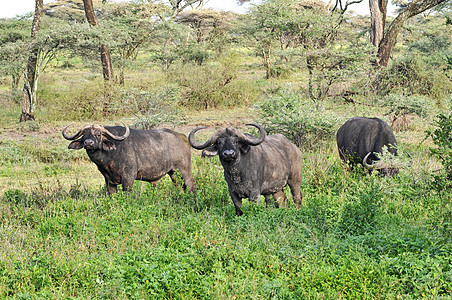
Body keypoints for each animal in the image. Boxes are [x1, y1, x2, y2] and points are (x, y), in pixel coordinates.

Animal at [62, 122, 194, 195]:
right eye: (85, 134)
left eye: (98, 134)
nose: (88, 143)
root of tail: (182, 137)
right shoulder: (109, 181)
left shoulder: (128, 178)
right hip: (173, 174)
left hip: (184, 172)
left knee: (191, 187)